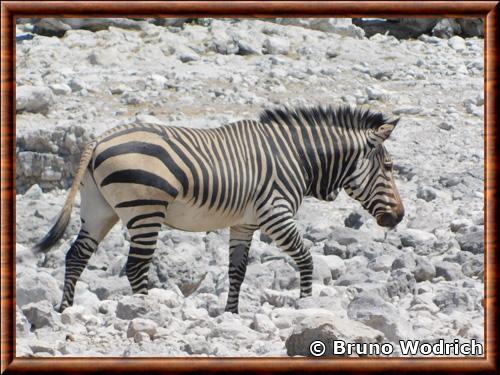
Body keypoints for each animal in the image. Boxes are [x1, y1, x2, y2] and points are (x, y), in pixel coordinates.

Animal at [35, 104, 404, 312]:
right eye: (388, 167)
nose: (398, 217)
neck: (298, 156)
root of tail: (100, 138)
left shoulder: (245, 223)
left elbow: (237, 271)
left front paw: (231, 313)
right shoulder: (276, 214)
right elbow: (305, 257)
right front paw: (306, 304)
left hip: (99, 209)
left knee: (76, 256)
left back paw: (65, 310)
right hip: (145, 210)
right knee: (135, 266)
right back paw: (146, 310)